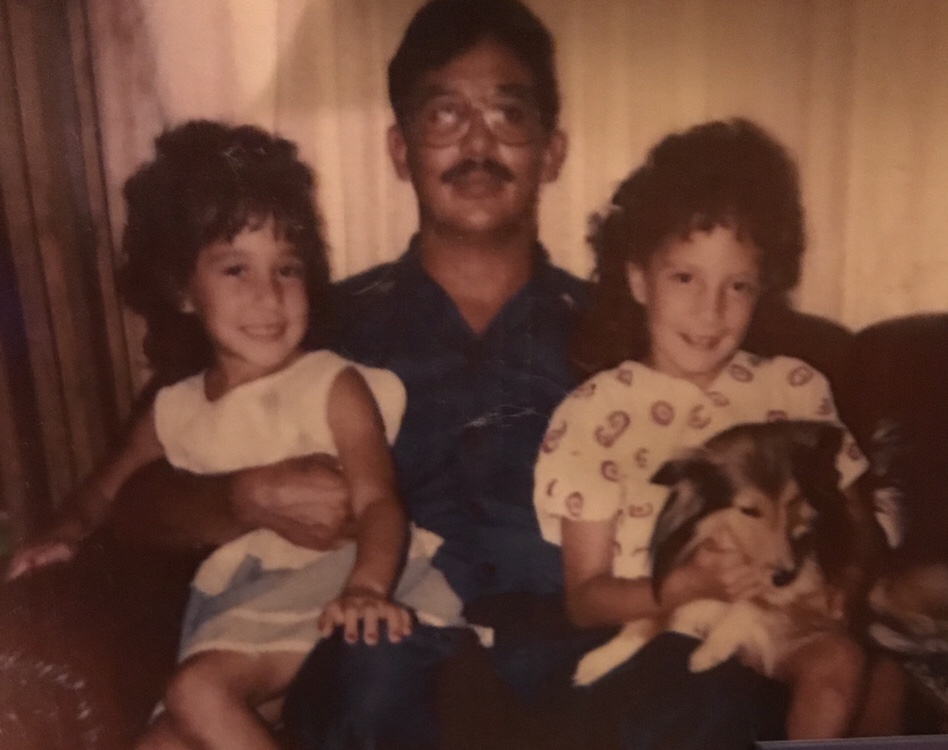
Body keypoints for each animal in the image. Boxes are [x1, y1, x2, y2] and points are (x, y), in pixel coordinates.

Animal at [573, 419, 867, 686]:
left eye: (792, 502)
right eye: (749, 510)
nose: (784, 577)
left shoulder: (814, 593)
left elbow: (752, 604)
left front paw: (709, 650)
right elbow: (646, 620)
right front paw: (596, 661)